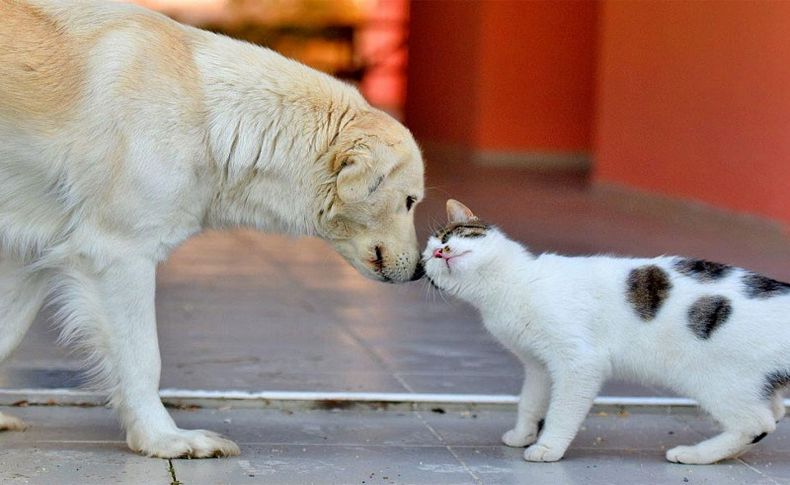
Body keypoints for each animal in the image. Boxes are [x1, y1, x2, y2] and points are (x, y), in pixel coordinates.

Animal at [0, 0, 426, 456]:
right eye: (410, 201)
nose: (422, 270)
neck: (210, 115)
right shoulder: (118, 255)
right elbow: (142, 359)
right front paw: (163, 439)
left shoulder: (30, 254)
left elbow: (7, 333)